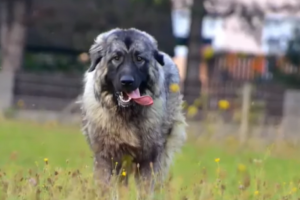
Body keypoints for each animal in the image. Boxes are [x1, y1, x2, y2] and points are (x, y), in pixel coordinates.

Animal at [81, 27, 186, 191]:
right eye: (116, 58)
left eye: (139, 59)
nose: (127, 81)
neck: (126, 114)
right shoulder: (106, 158)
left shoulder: (149, 159)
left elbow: (145, 190)